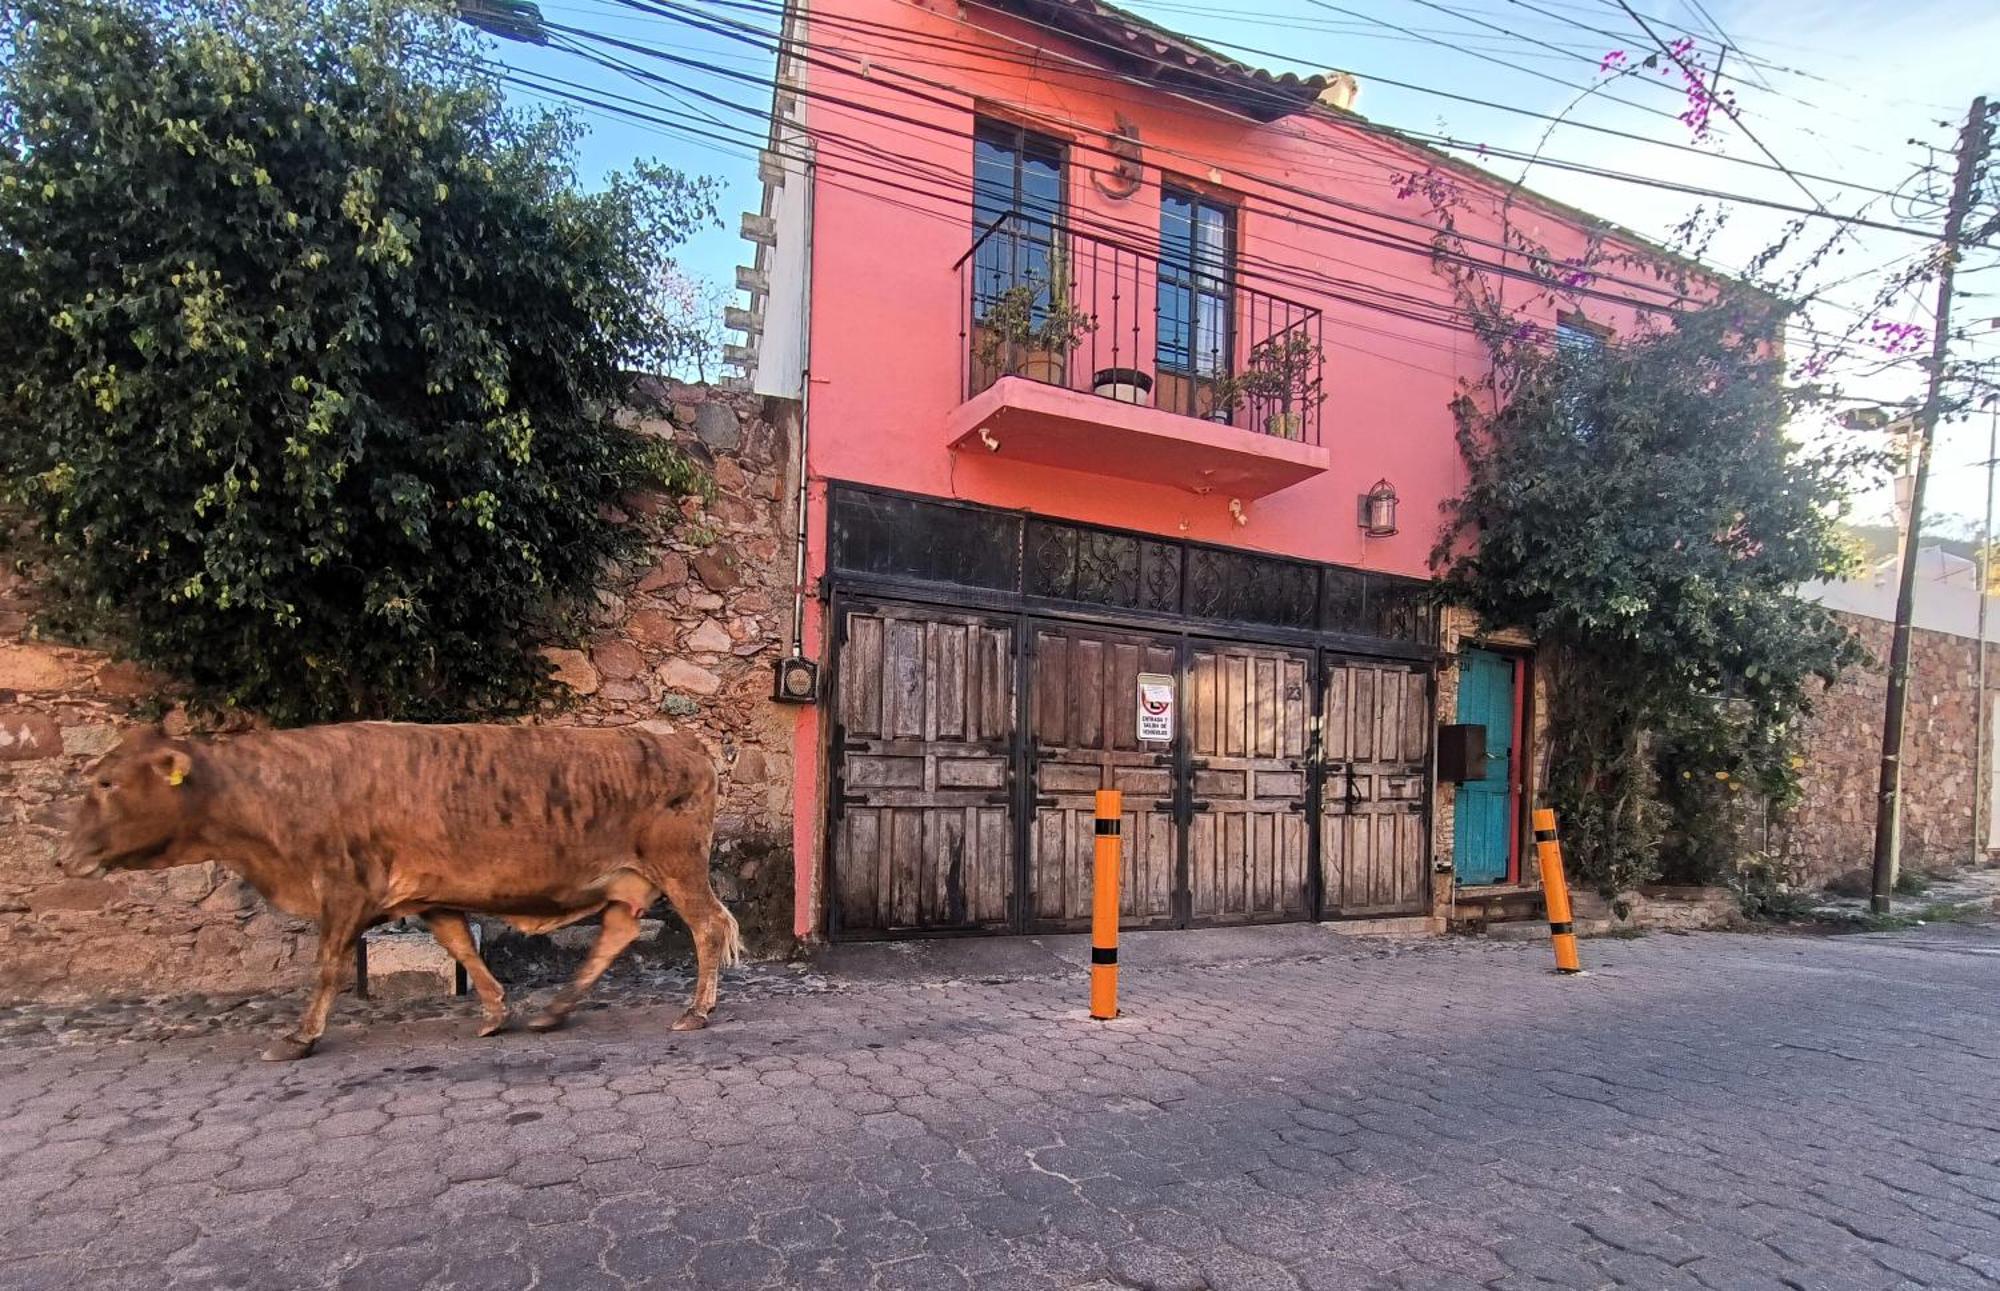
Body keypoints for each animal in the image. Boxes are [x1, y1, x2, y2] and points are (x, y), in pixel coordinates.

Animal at [60, 719, 736, 1063]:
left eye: (106, 782)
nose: (65, 854)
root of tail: (680, 743)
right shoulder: (427, 895)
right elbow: (460, 947)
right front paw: (497, 1012)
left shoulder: (342, 887)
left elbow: (328, 966)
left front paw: (298, 1037)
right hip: (630, 878)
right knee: (617, 931)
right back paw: (556, 1008)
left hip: (676, 864)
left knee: (706, 925)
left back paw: (696, 1011)